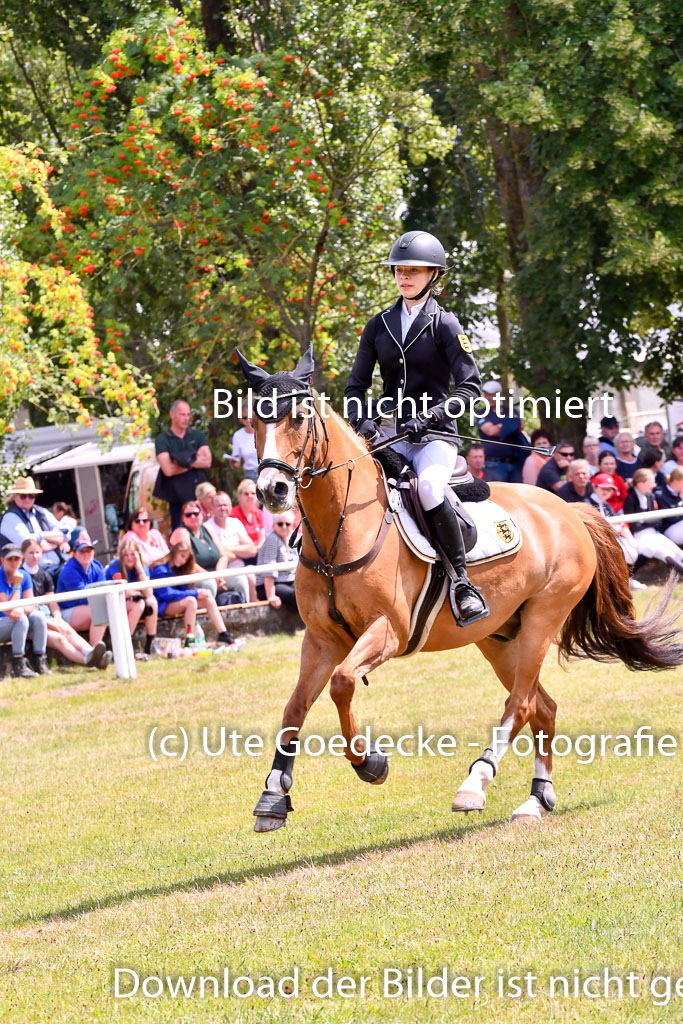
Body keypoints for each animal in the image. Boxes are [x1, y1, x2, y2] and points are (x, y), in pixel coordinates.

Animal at [237, 352, 679, 831]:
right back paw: (535, 799)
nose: (272, 490)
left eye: (298, 418)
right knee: (542, 706)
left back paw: (475, 784)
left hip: (542, 619)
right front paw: (272, 796)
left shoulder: (388, 632)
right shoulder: (321, 640)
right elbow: (295, 708)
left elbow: (342, 683)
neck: (340, 528)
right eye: (253, 421)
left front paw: (370, 763)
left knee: (521, 705)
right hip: (500, 636)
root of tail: (568, 508)